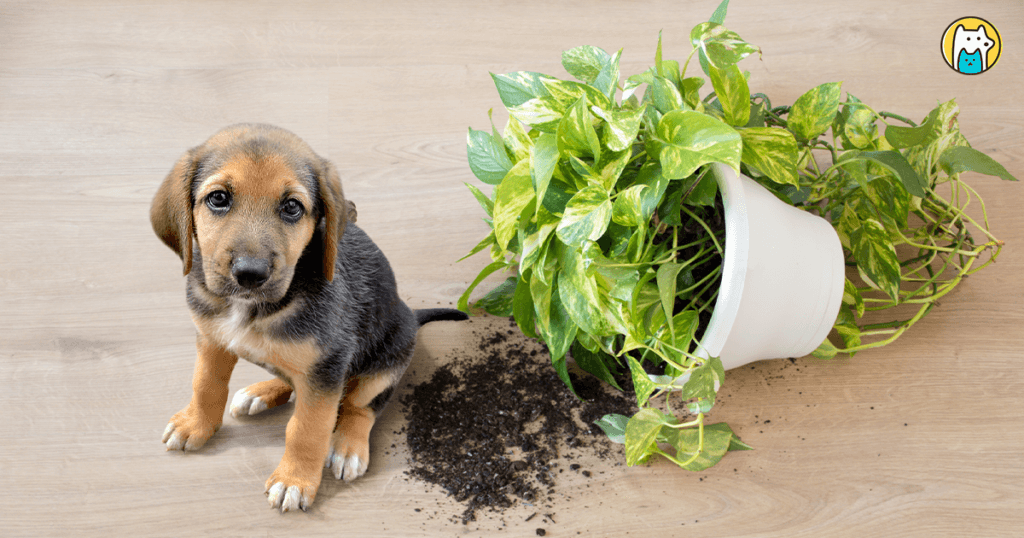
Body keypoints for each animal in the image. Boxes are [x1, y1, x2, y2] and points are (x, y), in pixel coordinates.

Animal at [150, 122, 468, 512]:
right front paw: (196, 424)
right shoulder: (212, 340)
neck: (253, 309)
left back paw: (348, 446)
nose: (250, 274)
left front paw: (295, 480)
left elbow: (307, 428)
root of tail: (410, 314)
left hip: (387, 360)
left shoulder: (327, 367)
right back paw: (261, 391)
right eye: (218, 198)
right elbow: (205, 384)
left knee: (361, 406)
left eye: (291, 207)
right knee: (291, 378)